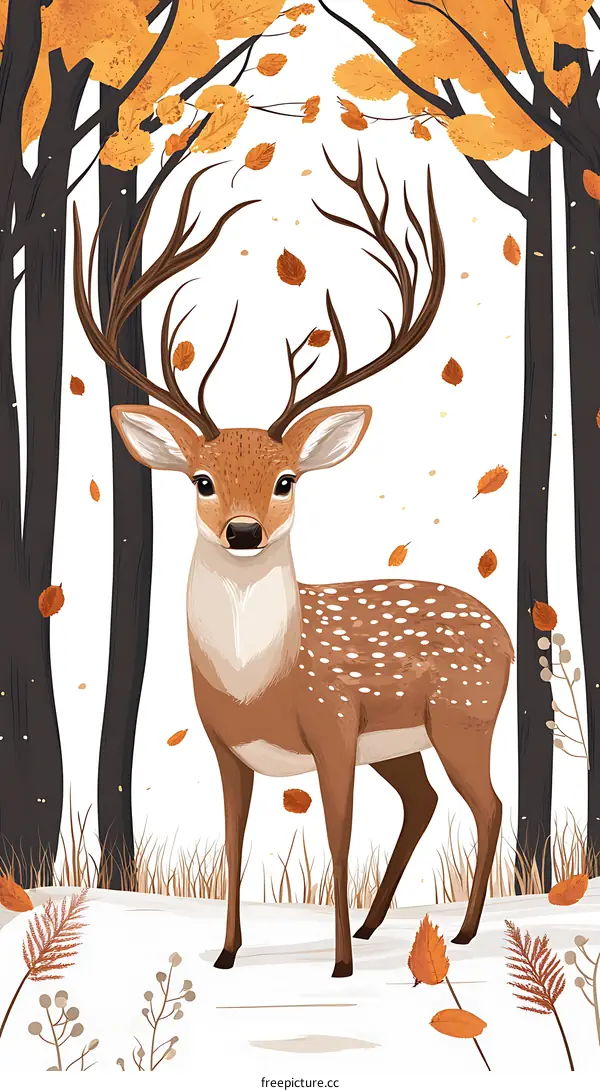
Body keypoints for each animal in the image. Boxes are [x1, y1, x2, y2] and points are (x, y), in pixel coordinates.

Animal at [73, 150, 513, 978]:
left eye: (286, 480)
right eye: (201, 479)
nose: (243, 531)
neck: (261, 684)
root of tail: (501, 628)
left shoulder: (334, 723)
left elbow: (338, 837)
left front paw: (337, 965)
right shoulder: (227, 746)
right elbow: (234, 840)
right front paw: (226, 953)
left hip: (463, 713)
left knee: (488, 802)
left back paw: (463, 931)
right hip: (403, 741)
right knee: (425, 801)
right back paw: (377, 926)